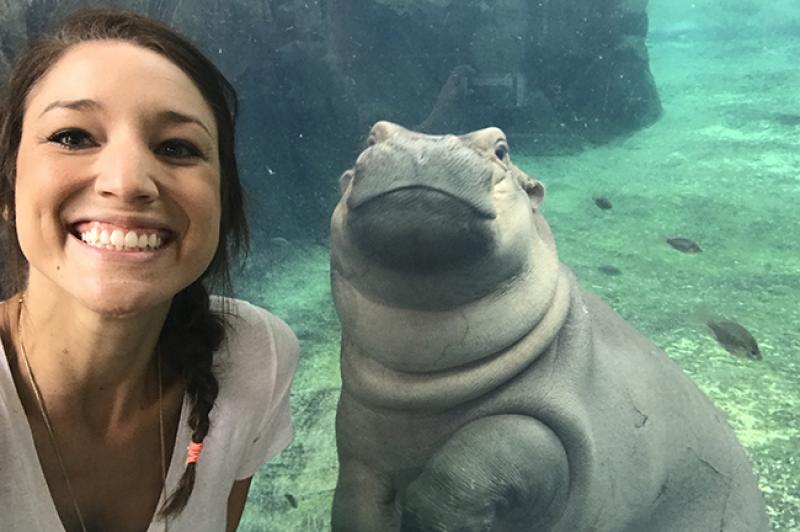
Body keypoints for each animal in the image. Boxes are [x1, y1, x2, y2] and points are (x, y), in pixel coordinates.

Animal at [329, 121, 770, 532]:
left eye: (501, 148)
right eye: (371, 136)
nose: (427, 146)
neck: (421, 386)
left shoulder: (564, 428)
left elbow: (488, 450)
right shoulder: (359, 456)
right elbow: (353, 509)